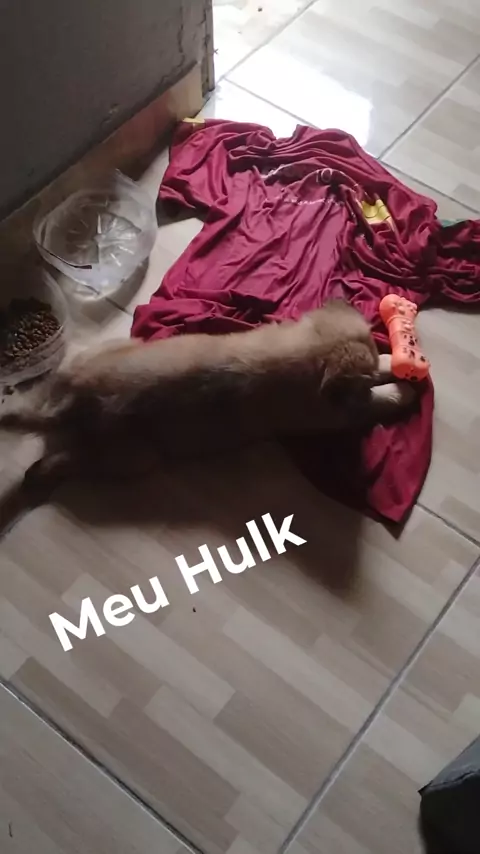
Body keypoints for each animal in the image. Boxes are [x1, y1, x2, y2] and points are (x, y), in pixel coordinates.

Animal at [0, 300, 415, 493]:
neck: (308, 354)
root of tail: (74, 403)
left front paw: (400, 362)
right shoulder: (333, 416)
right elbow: (374, 402)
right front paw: (403, 388)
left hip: (110, 350)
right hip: (138, 457)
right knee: (78, 461)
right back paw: (41, 473)